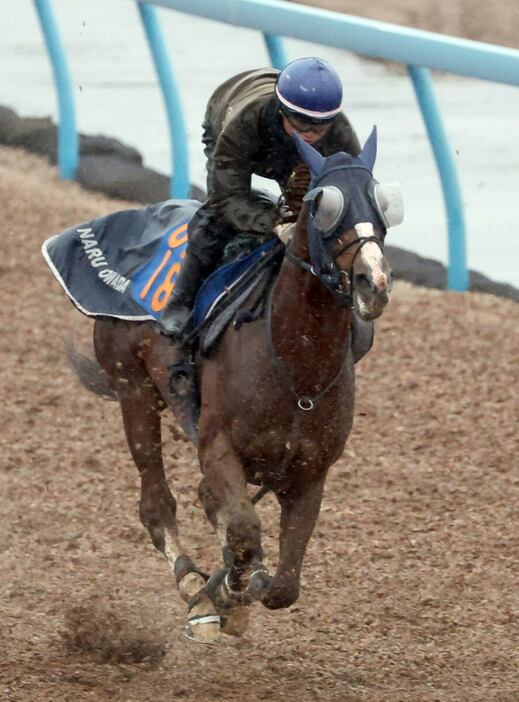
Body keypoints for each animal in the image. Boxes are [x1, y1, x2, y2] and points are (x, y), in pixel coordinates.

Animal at [67, 129, 400, 648]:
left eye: (383, 203)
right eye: (324, 205)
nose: (374, 282)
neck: (295, 370)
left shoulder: (310, 472)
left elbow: (283, 585)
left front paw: (239, 591)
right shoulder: (218, 445)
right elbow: (244, 532)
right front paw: (223, 591)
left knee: (206, 499)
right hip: (133, 390)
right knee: (157, 504)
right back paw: (194, 588)